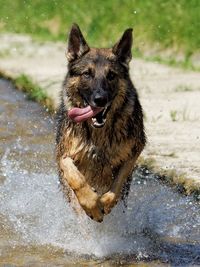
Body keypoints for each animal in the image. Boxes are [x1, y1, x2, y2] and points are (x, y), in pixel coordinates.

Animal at [55, 24, 146, 223]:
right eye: (87, 74)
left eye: (111, 75)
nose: (100, 99)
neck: (99, 136)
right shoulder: (63, 154)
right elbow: (77, 178)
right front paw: (92, 204)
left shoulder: (134, 151)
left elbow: (118, 183)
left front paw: (105, 201)